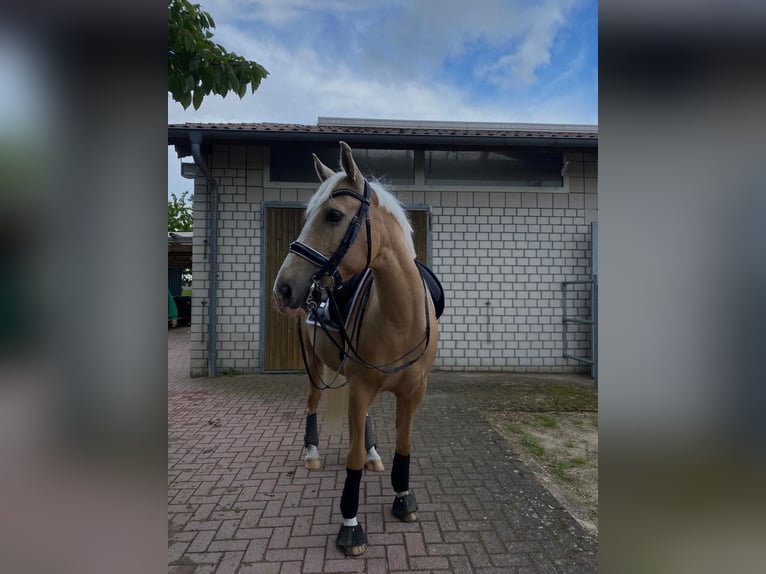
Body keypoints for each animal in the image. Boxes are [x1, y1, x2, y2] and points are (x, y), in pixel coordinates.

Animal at [274, 143, 444, 560]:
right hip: (316, 368)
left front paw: (403, 499)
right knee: (313, 402)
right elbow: (349, 455)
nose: (283, 288)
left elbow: (404, 443)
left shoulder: (413, 392)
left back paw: (373, 455)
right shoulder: (362, 386)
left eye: (333, 215)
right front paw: (350, 527)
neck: (401, 317)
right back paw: (312, 453)